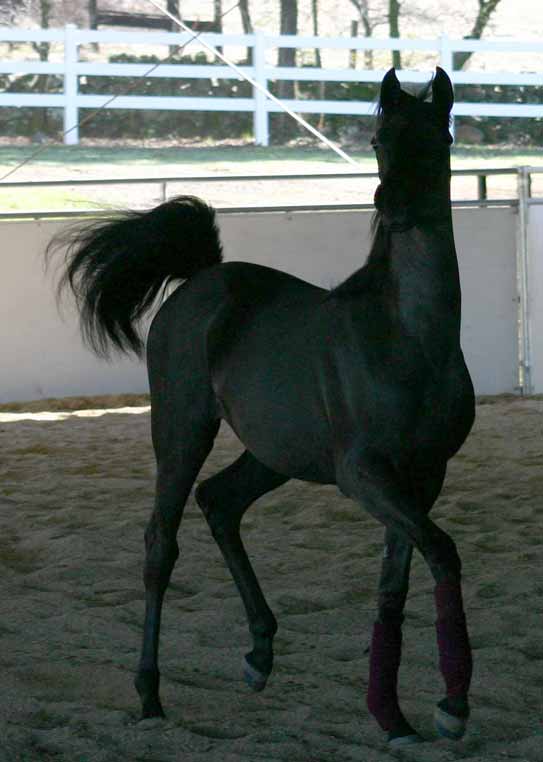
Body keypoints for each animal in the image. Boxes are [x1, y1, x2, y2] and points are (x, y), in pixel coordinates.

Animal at [51, 68, 476, 744]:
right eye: (380, 140)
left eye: (439, 138)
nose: (392, 207)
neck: (410, 339)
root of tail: (202, 280)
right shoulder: (363, 475)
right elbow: (442, 553)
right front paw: (452, 705)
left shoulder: (421, 477)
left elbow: (399, 580)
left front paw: (393, 715)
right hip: (181, 430)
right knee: (161, 544)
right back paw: (150, 695)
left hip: (273, 454)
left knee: (221, 503)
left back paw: (259, 654)